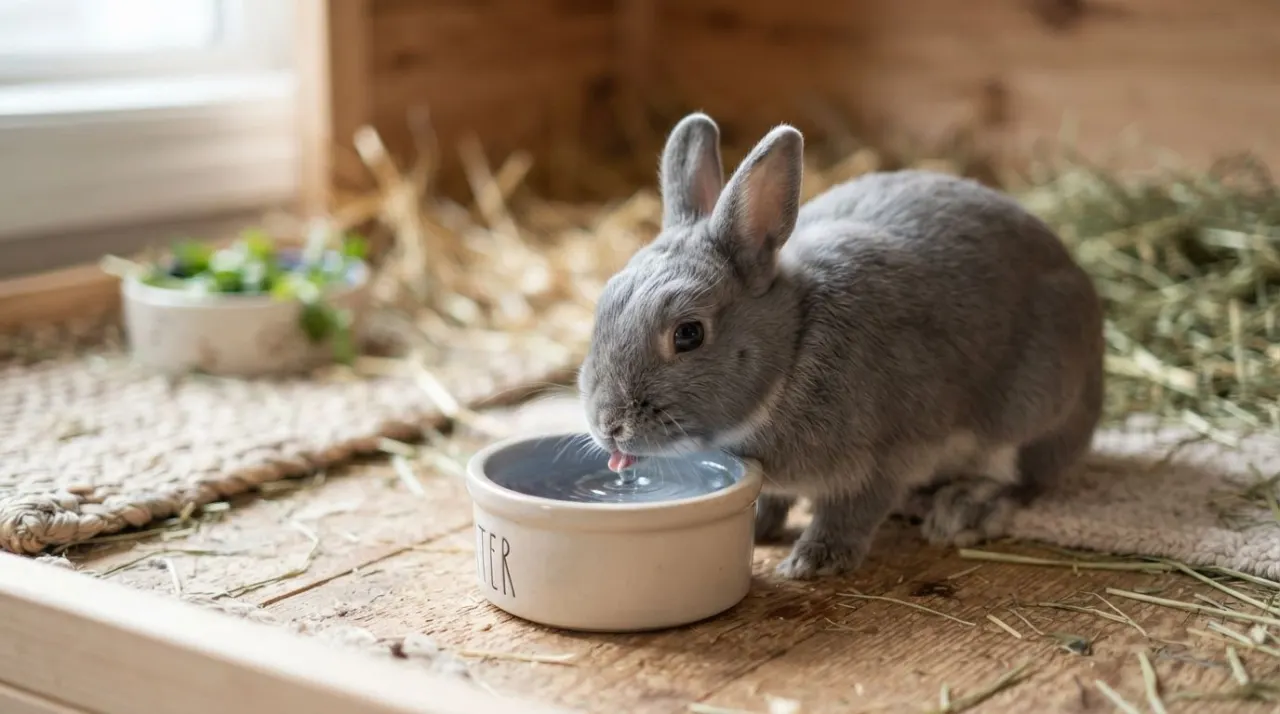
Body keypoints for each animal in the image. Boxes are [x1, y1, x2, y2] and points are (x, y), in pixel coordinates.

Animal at [577, 112, 1105, 580]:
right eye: (603, 305)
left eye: (688, 333)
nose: (609, 426)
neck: (792, 351)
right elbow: (772, 497)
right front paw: (761, 529)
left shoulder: (885, 457)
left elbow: (852, 510)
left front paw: (814, 560)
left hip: (1032, 409)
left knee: (1025, 480)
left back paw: (961, 509)